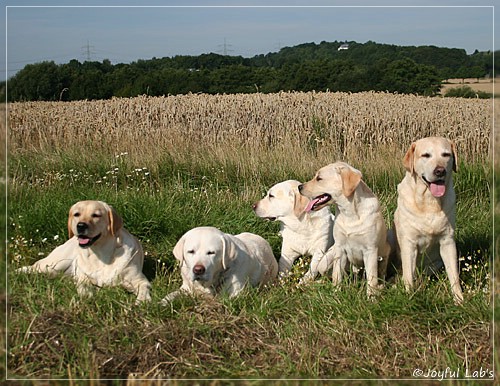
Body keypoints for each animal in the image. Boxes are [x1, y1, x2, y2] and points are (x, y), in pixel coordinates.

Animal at [17, 201, 152, 304]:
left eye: (96, 215)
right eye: (76, 214)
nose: (81, 226)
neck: (101, 255)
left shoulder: (139, 280)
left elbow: (144, 288)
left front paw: (142, 301)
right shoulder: (83, 277)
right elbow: (83, 285)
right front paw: (87, 295)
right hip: (54, 264)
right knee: (33, 267)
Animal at [296, 161, 390, 298]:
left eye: (319, 178)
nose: (299, 187)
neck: (349, 213)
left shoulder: (371, 250)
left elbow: (372, 279)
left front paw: (371, 298)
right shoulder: (340, 248)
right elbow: (337, 276)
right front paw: (335, 293)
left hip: (385, 253)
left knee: (379, 274)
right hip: (325, 261)